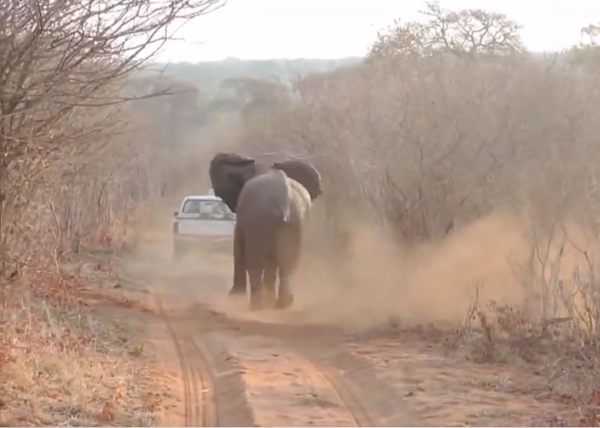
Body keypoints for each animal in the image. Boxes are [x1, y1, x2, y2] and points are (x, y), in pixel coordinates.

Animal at [210, 152, 324, 310]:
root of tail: (284, 200)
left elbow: (239, 245)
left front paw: (234, 297)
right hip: (296, 221)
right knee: (288, 264)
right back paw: (282, 304)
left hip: (261, 216)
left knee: (255, 261)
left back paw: (257, 305)